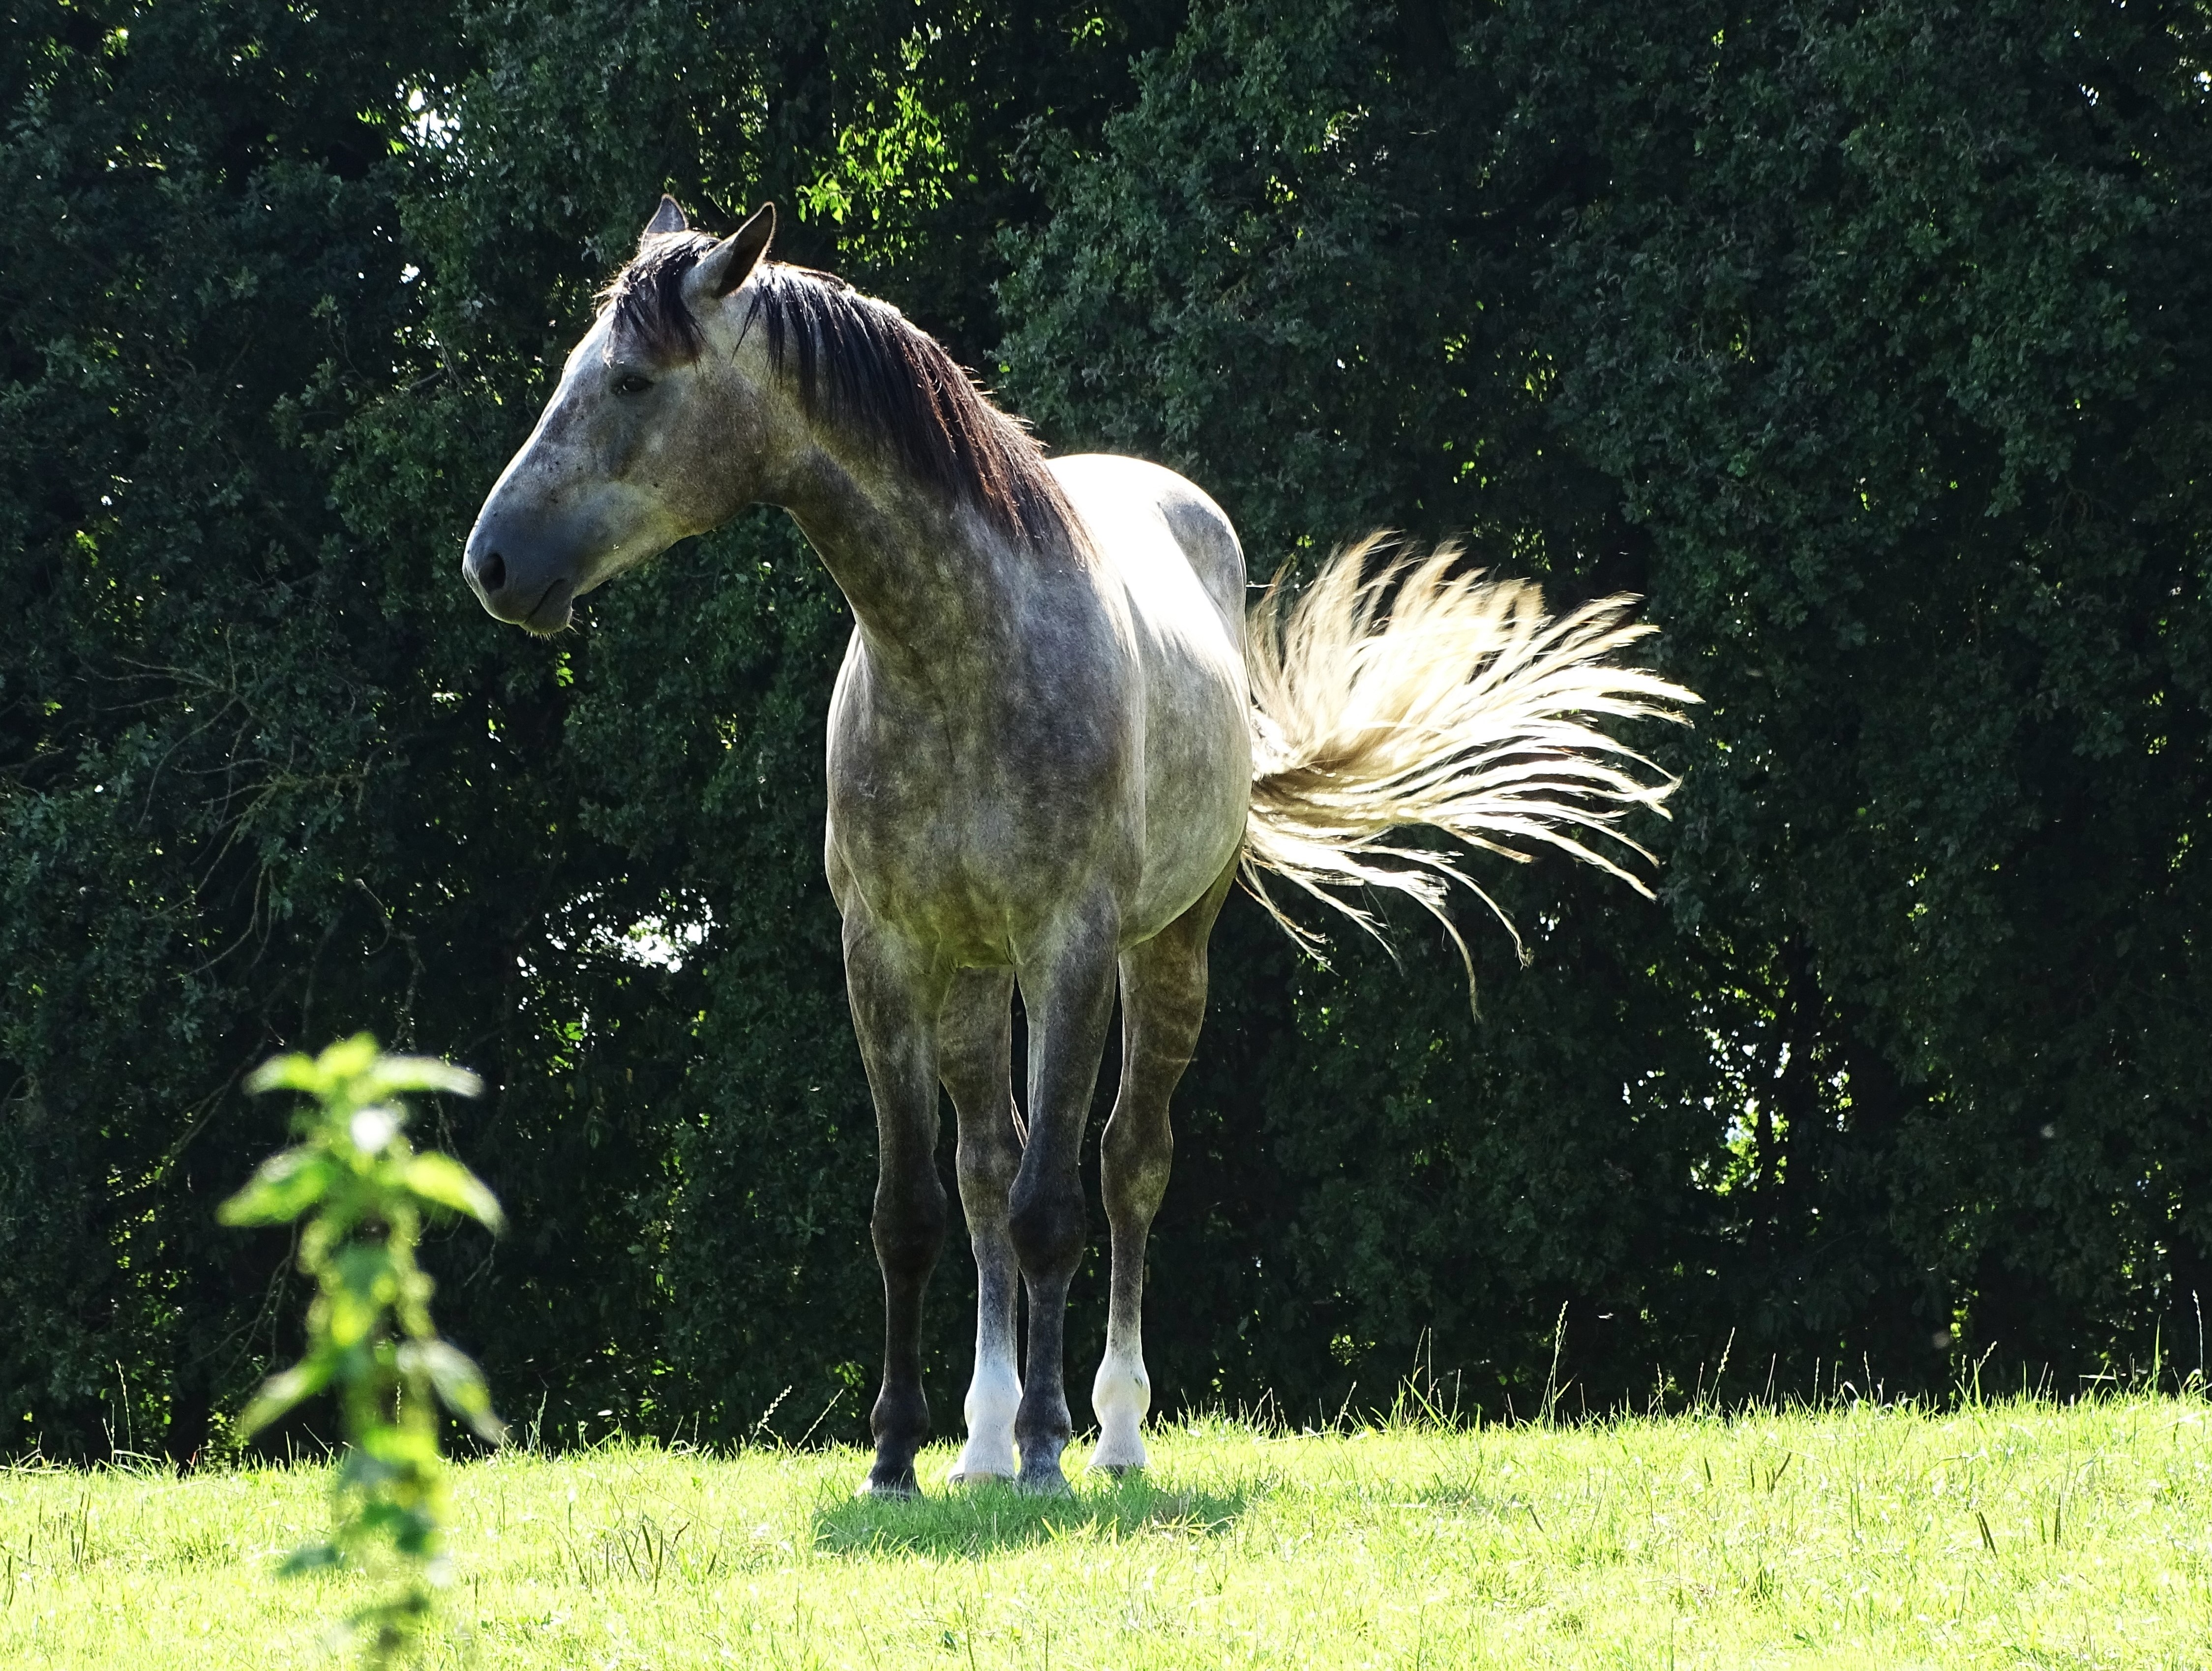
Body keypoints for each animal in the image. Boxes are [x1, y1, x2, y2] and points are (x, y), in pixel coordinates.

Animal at [463, 196, 1697, 1496]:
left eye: (632, 381)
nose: (490, 562)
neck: (953, 652)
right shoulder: (883, 954)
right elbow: (912, 1210)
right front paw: (897, 1453)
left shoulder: (1070, 950)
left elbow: (1054, 1205)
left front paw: (1049, 1444)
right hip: (972, 975)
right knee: (982, 1168)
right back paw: (980, 1439)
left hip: (1162, 955)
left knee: (1125, 1164)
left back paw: (1105, 1430)